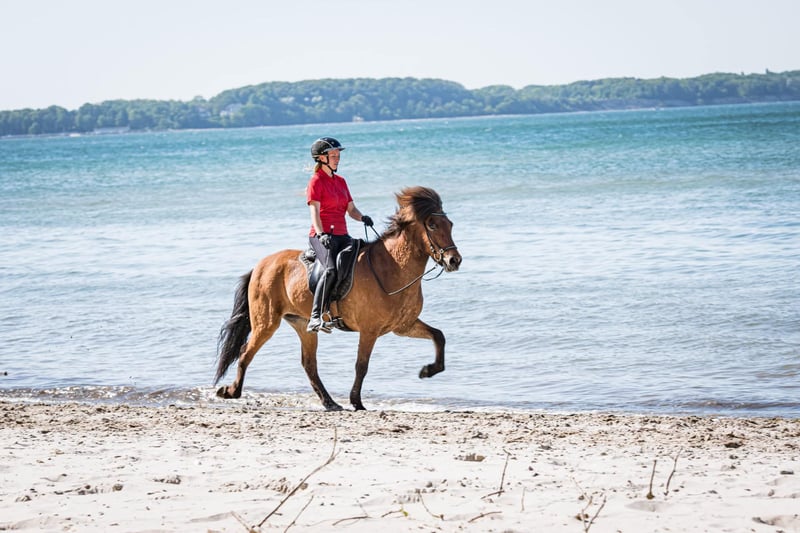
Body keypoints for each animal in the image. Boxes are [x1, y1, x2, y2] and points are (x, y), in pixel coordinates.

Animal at [214, 186, 462, 411]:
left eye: (450, 225)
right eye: (432, 225)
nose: (454, 260)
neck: (392, 268)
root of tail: (261, 265)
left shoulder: (403, 326)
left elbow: (439, 336)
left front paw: (428, 370)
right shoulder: (369, 330)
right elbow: (362, 365)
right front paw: (357, 402)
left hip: (302, 324)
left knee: (309, 365)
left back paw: (330, 402)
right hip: (266, 322)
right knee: (246, 352)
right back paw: (231, 391)